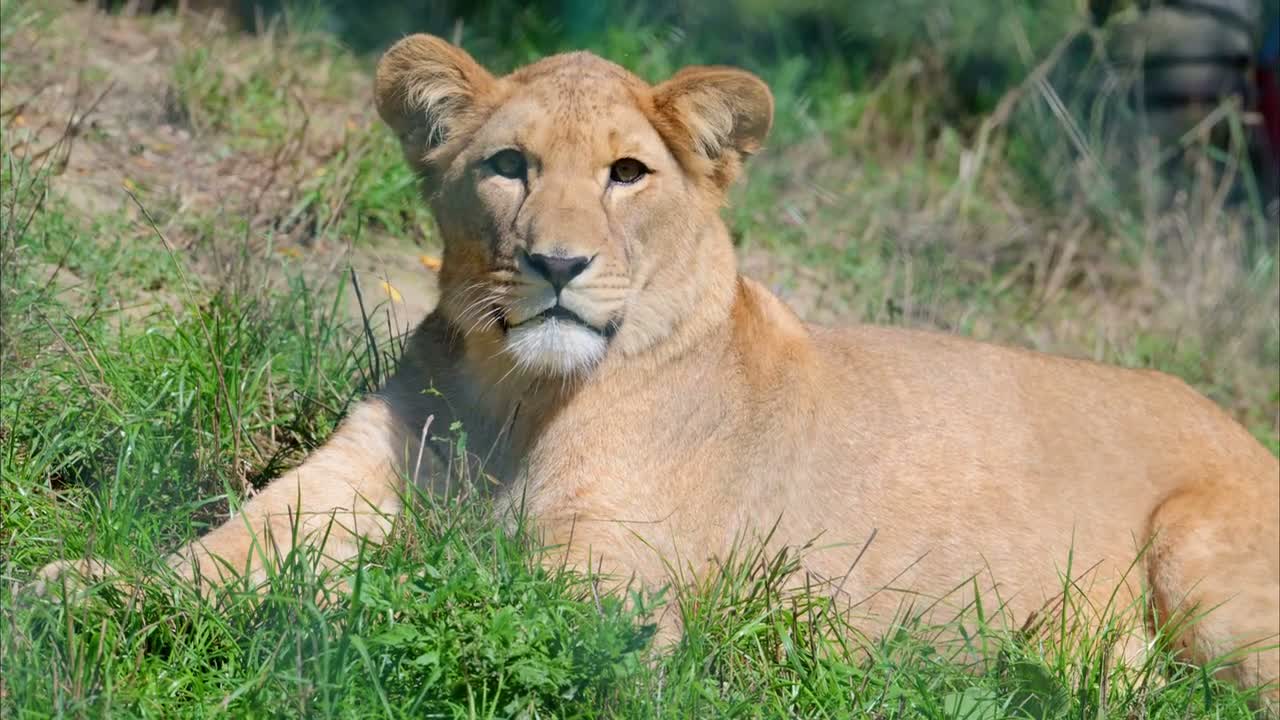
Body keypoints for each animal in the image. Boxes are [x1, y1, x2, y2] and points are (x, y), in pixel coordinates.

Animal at [37, 34, 1279, 701]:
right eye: (507, 165)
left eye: (626, 174)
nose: (555, 262)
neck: (514, 396)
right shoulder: (348, 479)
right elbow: (234, 547)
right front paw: (90, 587)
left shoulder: (613, 590)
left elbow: (430, 586)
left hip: (1199, 560)